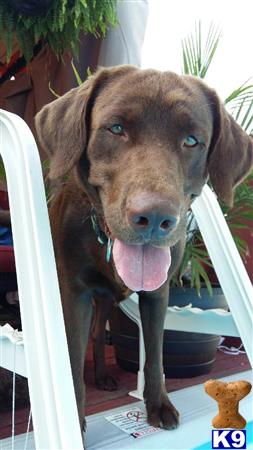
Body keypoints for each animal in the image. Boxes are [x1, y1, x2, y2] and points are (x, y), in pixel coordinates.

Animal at [34, 67, 252, 440]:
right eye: (116, 128)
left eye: (191, 140)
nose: (154, 217)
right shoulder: (74, 294)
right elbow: (73, 358)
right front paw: (76, 421)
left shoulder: (157, 294)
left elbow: (155, 354)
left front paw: (158, 404)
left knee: (100, 333)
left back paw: (104, 375)